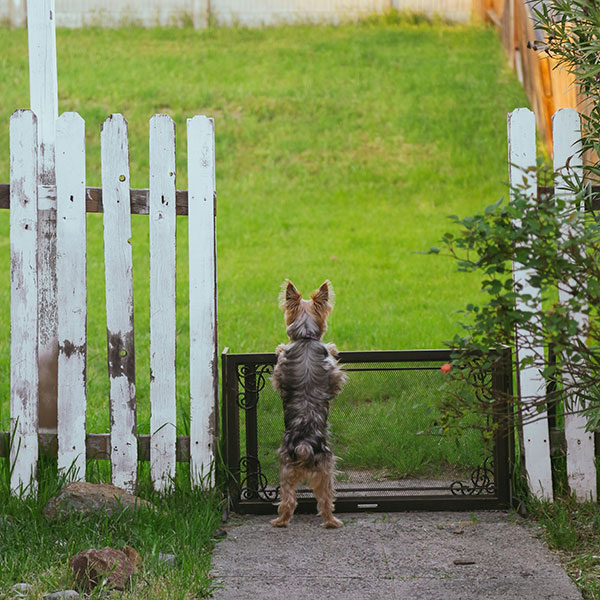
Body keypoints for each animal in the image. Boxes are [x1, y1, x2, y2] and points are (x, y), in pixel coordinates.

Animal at [270, 278, 346, 528]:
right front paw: (332, 346)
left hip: (285, 470)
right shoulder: (334, 374)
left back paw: (280, 522)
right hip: (327, 467)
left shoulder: (280, 372)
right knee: (326, 499)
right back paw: (332, 522)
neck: (304, 337)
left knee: (288, 500)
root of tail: (304, 447)